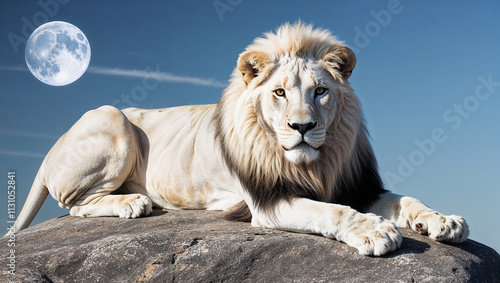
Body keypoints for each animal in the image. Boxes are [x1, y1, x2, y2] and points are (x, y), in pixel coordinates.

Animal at [10, 22, 468, 258]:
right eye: (279, 92)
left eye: (320, 91)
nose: (303, 127)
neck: (316, 162)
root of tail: (52, 148)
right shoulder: (268, 201)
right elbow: (332, 211)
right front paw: (372, 232)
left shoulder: (360, 183)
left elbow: (406, 199)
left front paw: (442, 220)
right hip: (111, 118)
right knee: (74, 206)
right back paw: (132, 202)